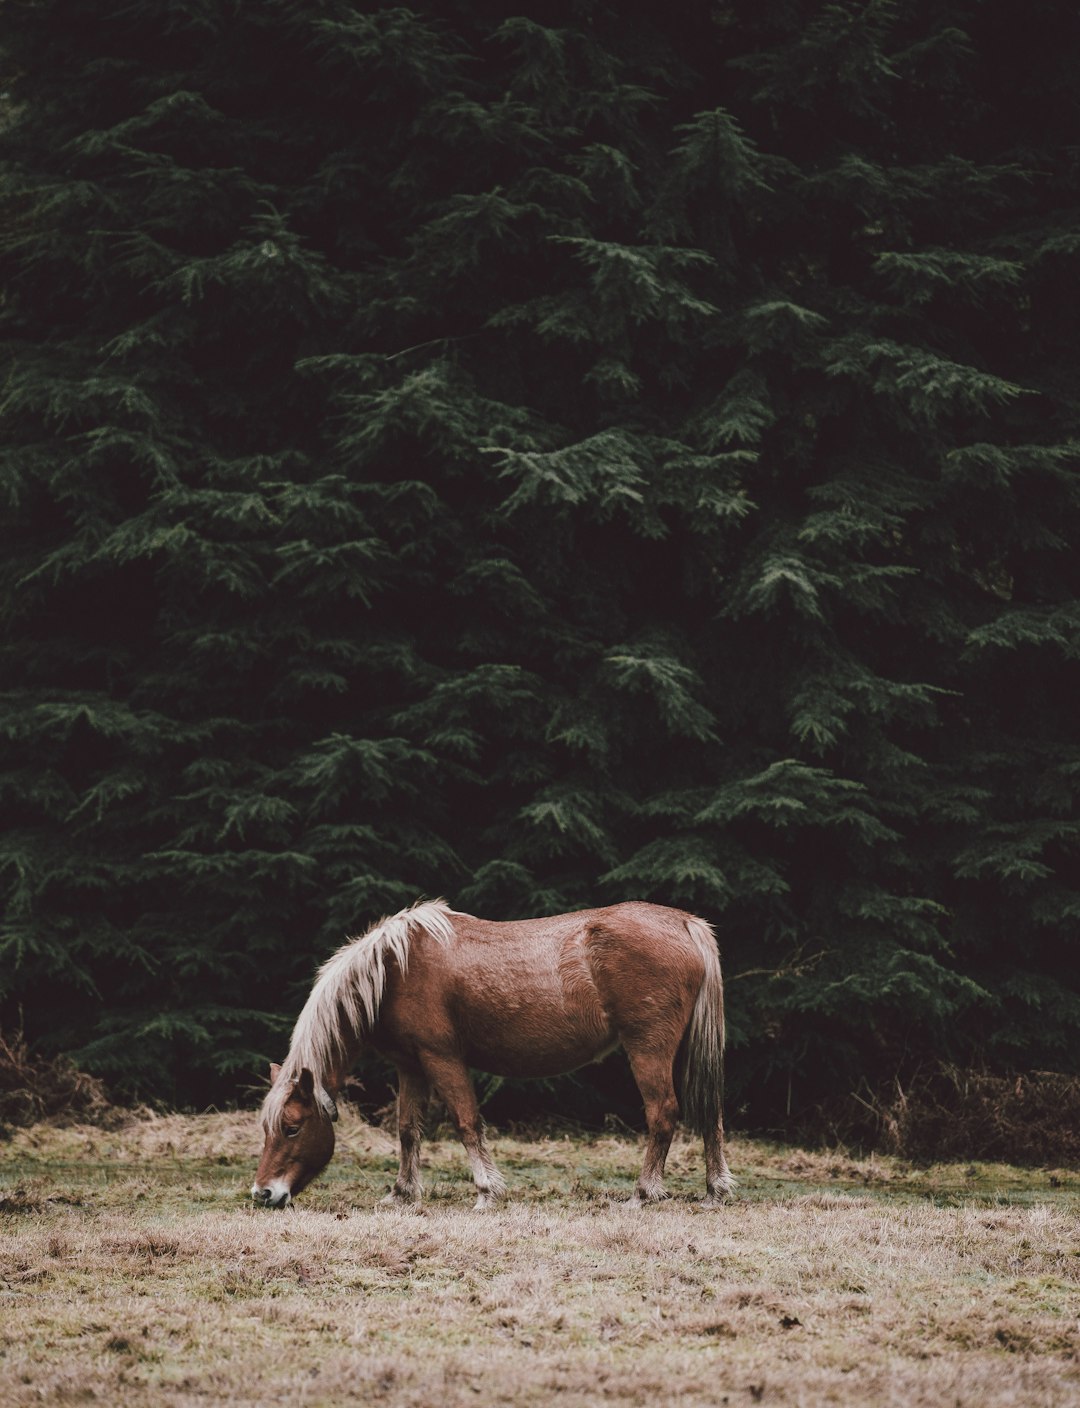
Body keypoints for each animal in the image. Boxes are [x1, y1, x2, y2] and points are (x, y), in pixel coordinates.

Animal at [253, 901, 732, 1210]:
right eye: (267, 1127)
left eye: (292, 1127)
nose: (263, 1194)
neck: (394, 969)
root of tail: (685, 923)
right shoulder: (411, 1066)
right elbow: (408, 1130)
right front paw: (402, 1193)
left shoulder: (442, 1058)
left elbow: (467, 1122)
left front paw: (486, 1192)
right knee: (710, 1113)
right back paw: (714, 1191)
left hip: (648, 1048)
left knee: (663, 1114)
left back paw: (641, 1194)